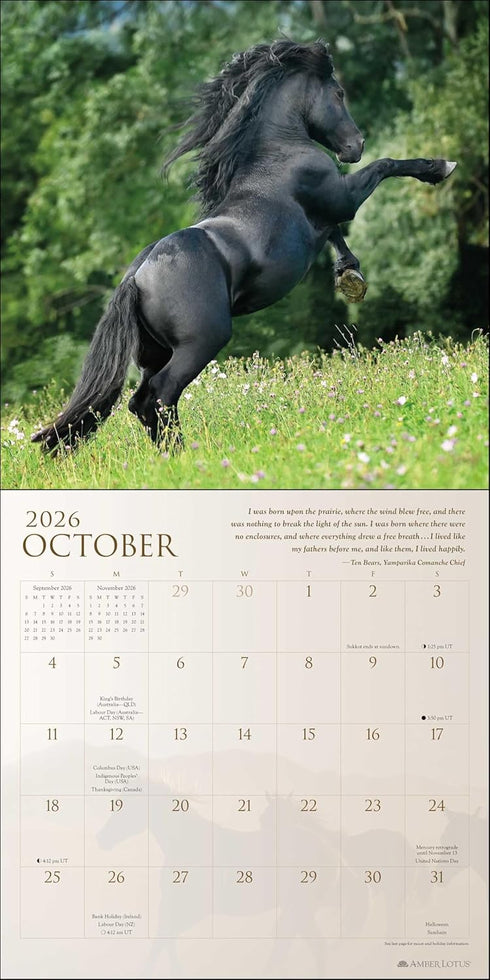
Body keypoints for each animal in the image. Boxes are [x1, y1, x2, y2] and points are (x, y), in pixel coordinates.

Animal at [32, 39, 456, 453]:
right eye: (338, 93)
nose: (355, 146)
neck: (278, 151)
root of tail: (137, 276)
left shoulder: (328, 211)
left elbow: (336, 232)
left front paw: (349, 274)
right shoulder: (341, 196)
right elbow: (385, 166)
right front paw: (440, 167)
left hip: (156, 352)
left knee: (142, 402)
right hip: (201, 342)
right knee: (160, 395)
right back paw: (185, 455)